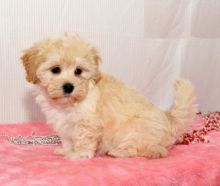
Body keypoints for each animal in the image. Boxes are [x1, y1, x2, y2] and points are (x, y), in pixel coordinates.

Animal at [21, 34, 199, 158]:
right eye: (55, 69)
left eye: (78, 71)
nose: (69, 87)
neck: (69, 103)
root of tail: (169, 118)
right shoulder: (64, 124)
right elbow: (67, 138)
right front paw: (66, 150)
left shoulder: (88, 122)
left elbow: (83, 138)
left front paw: (80, 154)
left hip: (132, 129)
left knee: (154, 150)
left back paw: (118, 152)